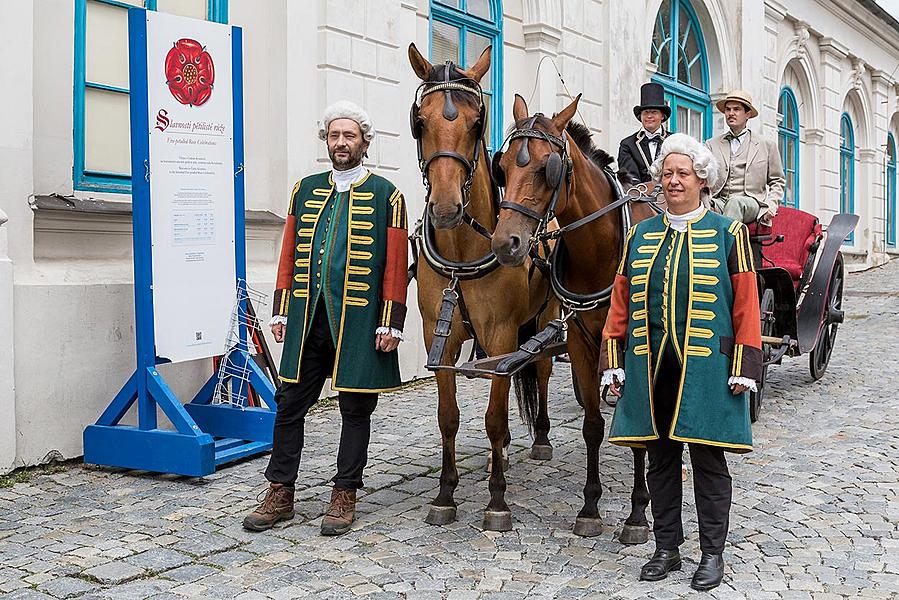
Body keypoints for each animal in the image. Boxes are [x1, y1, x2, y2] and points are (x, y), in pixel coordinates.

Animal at [410, 48, 564, 536]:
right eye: (420, 120)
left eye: (478, 122)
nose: (445, 207)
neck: (464, 253)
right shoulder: (437, 335)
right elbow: (449, 417)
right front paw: (445, 493)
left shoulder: (500, 332)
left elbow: (494, 419)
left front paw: (497, 501)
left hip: (545, 318)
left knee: (542, 368)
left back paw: (540, 439)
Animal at [488, 94, 656, 540]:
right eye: (502, 165)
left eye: (548, 168)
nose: (506, 244)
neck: (600, 250)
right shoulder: (581, 340)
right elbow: (593, 426)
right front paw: (591, 507)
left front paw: (638, 512)